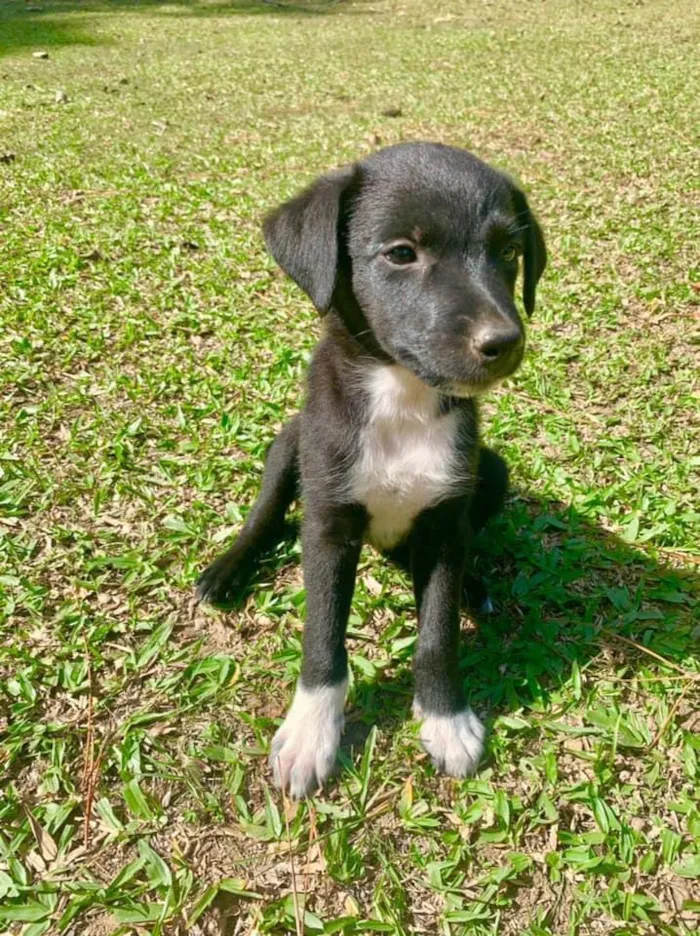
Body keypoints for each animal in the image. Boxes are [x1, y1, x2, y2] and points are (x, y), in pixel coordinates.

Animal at [197, 143, 548, 800]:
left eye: (510, 253)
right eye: (402, 253)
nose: (504, 343)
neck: (402, 399)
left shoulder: (445, 519)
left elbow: (436, 631)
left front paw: (445, 717)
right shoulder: (330, 523)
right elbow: (323, 635)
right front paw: (311, 732)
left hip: (491, 472)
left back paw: (473, 587)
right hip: (290, 443)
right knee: (265, 515)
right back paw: (227, 569)